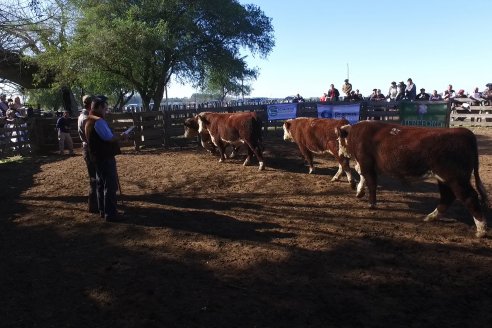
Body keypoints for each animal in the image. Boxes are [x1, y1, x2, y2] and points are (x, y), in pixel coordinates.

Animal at [338, 120, 488, 236]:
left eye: (339, 139)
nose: (340, 153)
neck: (357, 133)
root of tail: (464, 132)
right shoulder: (365, 165)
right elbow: (364, 178)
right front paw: (359, 192)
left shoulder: (366, 163)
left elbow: (371, 183)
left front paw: (372, 204)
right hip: (444, 179)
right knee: (447, 197)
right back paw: (431, 217)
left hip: (456, 179)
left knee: (469, 197)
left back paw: (481, 230)